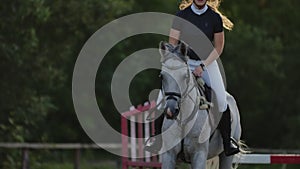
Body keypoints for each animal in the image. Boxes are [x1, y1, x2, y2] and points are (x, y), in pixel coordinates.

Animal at [158, 41, 243, 169]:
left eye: (185, 76)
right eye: (162, 76)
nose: (171, 111)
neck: (184, 120)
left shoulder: (199, 155)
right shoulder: (169, 155)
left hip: (226, 156)